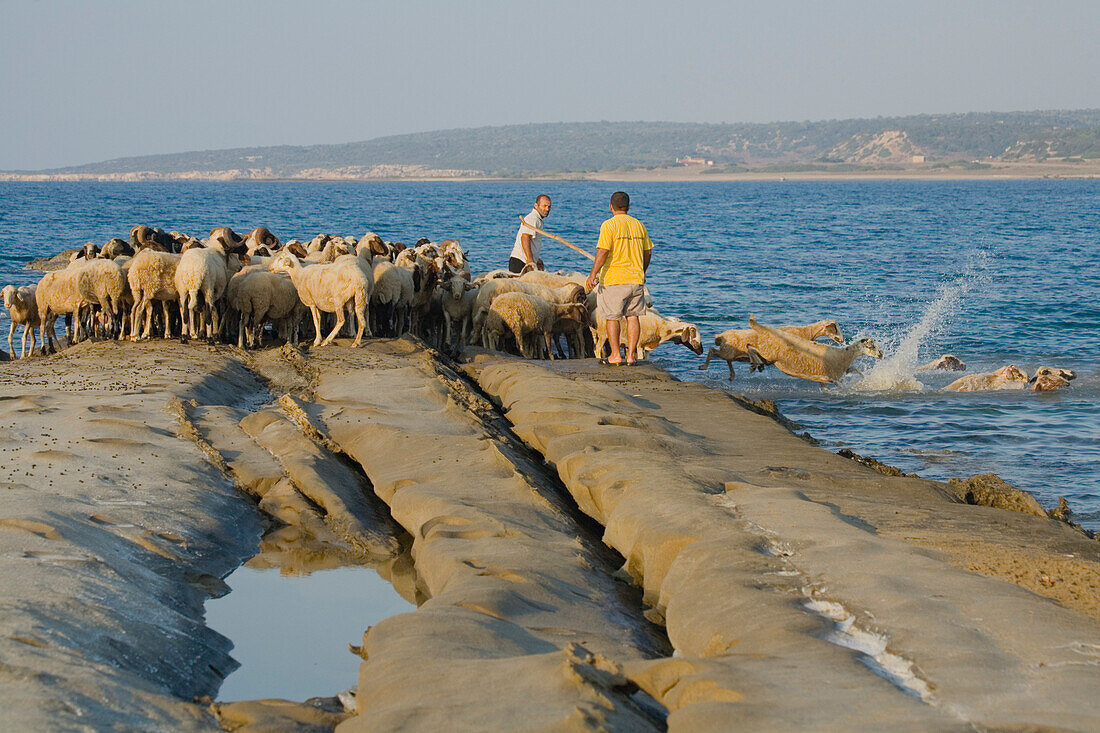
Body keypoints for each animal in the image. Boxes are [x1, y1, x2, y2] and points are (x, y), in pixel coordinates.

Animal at [699, 316, 844, 378]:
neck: (805, 332)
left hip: (730, 353)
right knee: (712, 351)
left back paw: (733, 374)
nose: (842, 339)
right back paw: (703, 367)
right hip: (727, 351)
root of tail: (720, 336)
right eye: (835, 328)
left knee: (726, 360)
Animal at [743, 312, 880, 385]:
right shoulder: (833, 376)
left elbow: (856, 369)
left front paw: (864, 378)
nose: (881, 355)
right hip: (769, 353)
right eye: (871, 346)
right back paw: (754, 365)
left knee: (751, 348)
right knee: (751, 348)